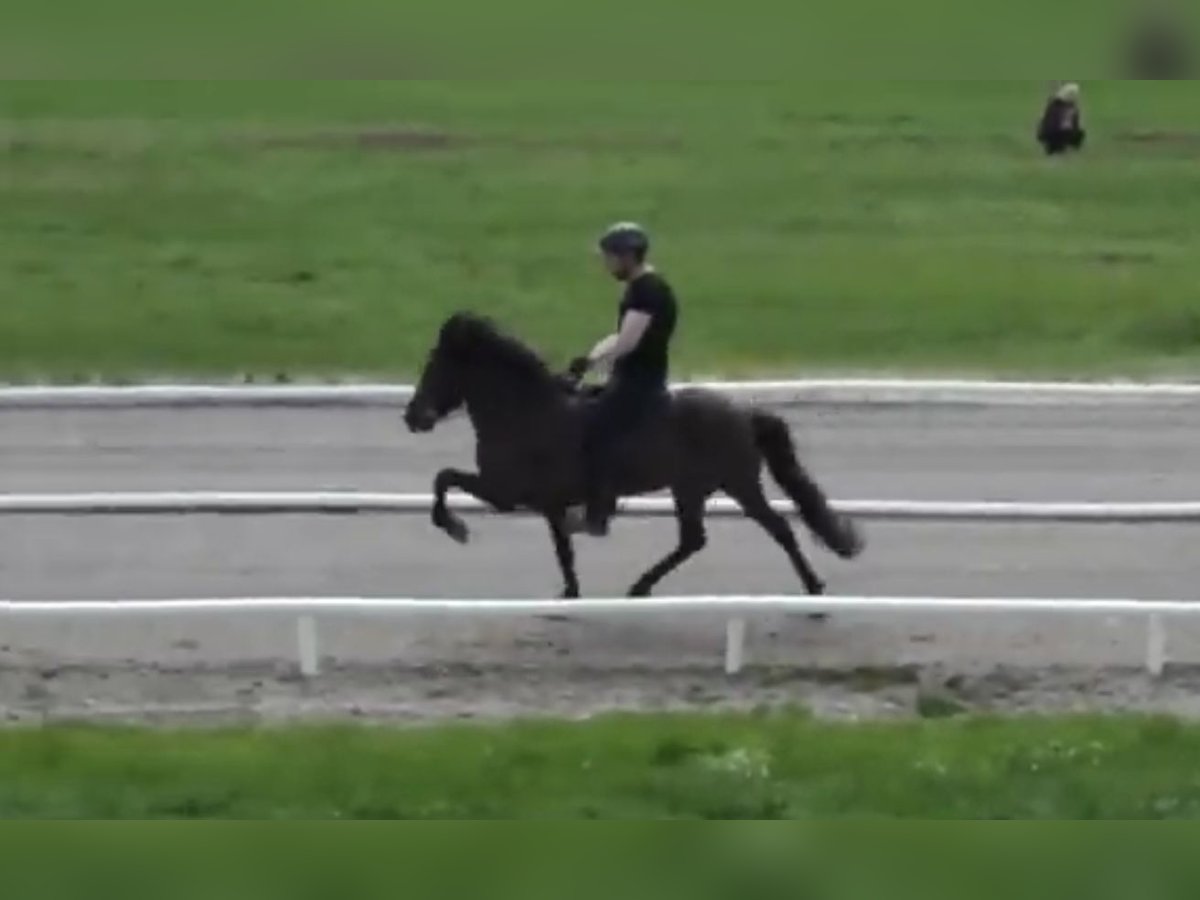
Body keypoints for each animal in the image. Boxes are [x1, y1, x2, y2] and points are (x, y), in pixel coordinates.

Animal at [405, 314, 864, 602]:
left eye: (437, 364)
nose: (413, 417)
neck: (526, 413)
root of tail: (743, 413)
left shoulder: (504, 492)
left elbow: (443, 478)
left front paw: (454, 527)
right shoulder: (547, 503)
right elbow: (562, 549)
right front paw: (569, 594)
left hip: (734, 484)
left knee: (775, 529)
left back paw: (814, 589)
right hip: (692, 489)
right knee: (694, 539)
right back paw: (641, 587)